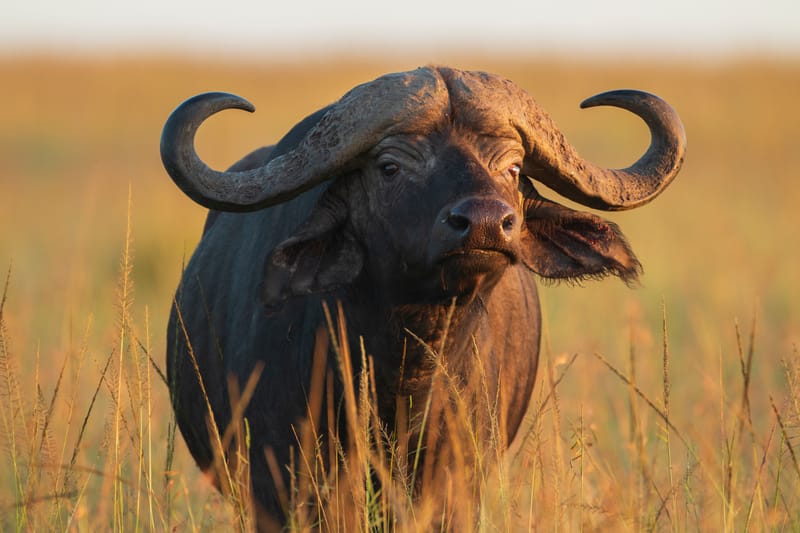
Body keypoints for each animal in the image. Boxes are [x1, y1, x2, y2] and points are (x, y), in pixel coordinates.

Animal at [160, 66, 685, 528]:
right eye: (390, 166)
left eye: (514, 168)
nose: (486, 222)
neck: (405, 372)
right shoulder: (283, 486)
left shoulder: (455, 486)